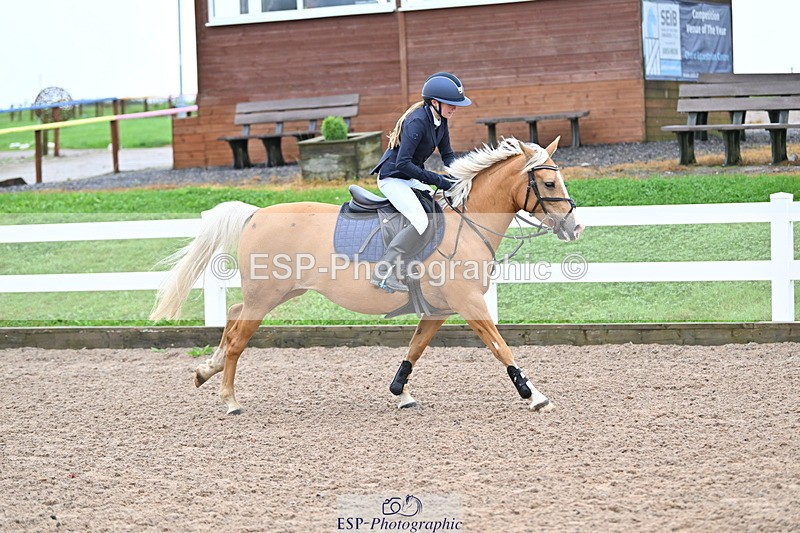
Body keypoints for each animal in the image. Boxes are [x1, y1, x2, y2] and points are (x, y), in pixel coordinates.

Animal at [150, 136, 583, 414]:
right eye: (549, 182)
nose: (575, 227)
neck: (468, 222)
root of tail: (256, 213)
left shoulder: (440, 310)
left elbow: (415, 349)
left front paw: (400, 393)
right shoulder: (469, 303)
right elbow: (500, 347)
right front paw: (533, 394)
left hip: (279, 292)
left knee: (233, 316)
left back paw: (206, 371)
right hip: (266, 296)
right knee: (239, 338)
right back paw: (229, 399)